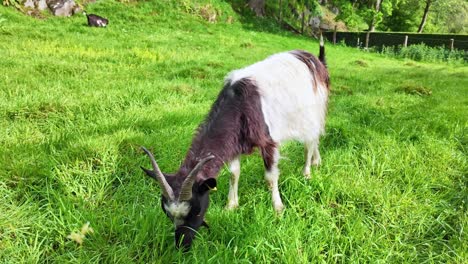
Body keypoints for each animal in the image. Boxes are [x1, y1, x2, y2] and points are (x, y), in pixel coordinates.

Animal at [141, 36, 330, 251]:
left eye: (196, 210)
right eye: (167, 213)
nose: (183, 245)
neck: (240, 103)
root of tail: (315, 60)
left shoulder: (269, 142)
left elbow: (270, 177)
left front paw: (278, 208)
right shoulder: (235, 142)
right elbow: (233, 173)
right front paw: (231, 206)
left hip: (313, 111)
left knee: (311, 141)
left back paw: (307, 171)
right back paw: (316, 161)